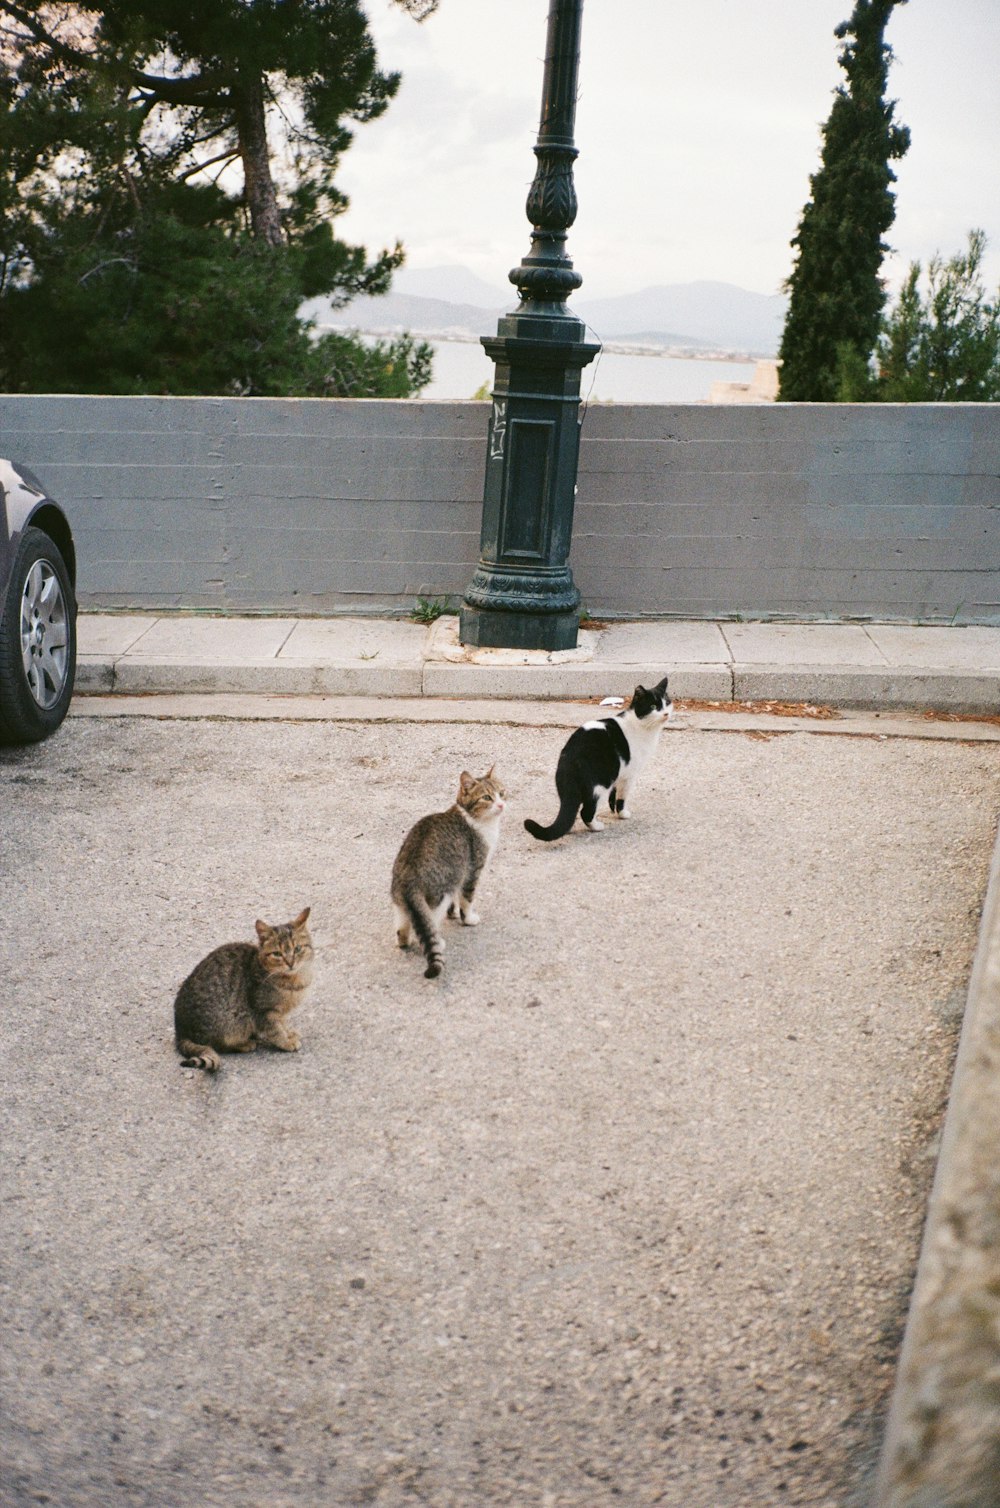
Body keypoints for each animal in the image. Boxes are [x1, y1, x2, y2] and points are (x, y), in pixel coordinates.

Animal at [173, 904, 313, 1073]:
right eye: (277, 954)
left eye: (297, 949)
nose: (291, 963)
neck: (293, 979)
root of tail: (180, 1031)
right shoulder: (262, 1011)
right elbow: (275, 1030)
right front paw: (286, 1041)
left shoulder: (279, 1012)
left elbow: (283, 1024)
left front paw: (289, 1033)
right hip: (232, 1023)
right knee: (218, 1045)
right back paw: (246, 1044)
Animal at [392, 766, 509, 977]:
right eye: (487, 797)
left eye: (502, 792)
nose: (501, 804)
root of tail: (408, 878)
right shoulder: (471, 871)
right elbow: (466, 900)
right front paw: (468, 919)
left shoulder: (458, 872)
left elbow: (457, 899)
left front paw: (453, 914)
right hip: (439, 895)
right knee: (429, 923)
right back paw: (438, 941)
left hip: (400, 902)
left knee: (403, 928)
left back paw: (405, 940)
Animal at [524, 678, 672, 844]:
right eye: (653, 706)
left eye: (667, 703)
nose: (666, 713)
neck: (642, 726)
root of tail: (570, 757)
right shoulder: (629, 775)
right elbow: (622, 798)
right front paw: (623, 814)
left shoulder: (619, 775)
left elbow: (613, 796)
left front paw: (613, 811)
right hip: (600, 784)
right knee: (585, 811)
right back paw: (597, 826)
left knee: (571, 810)